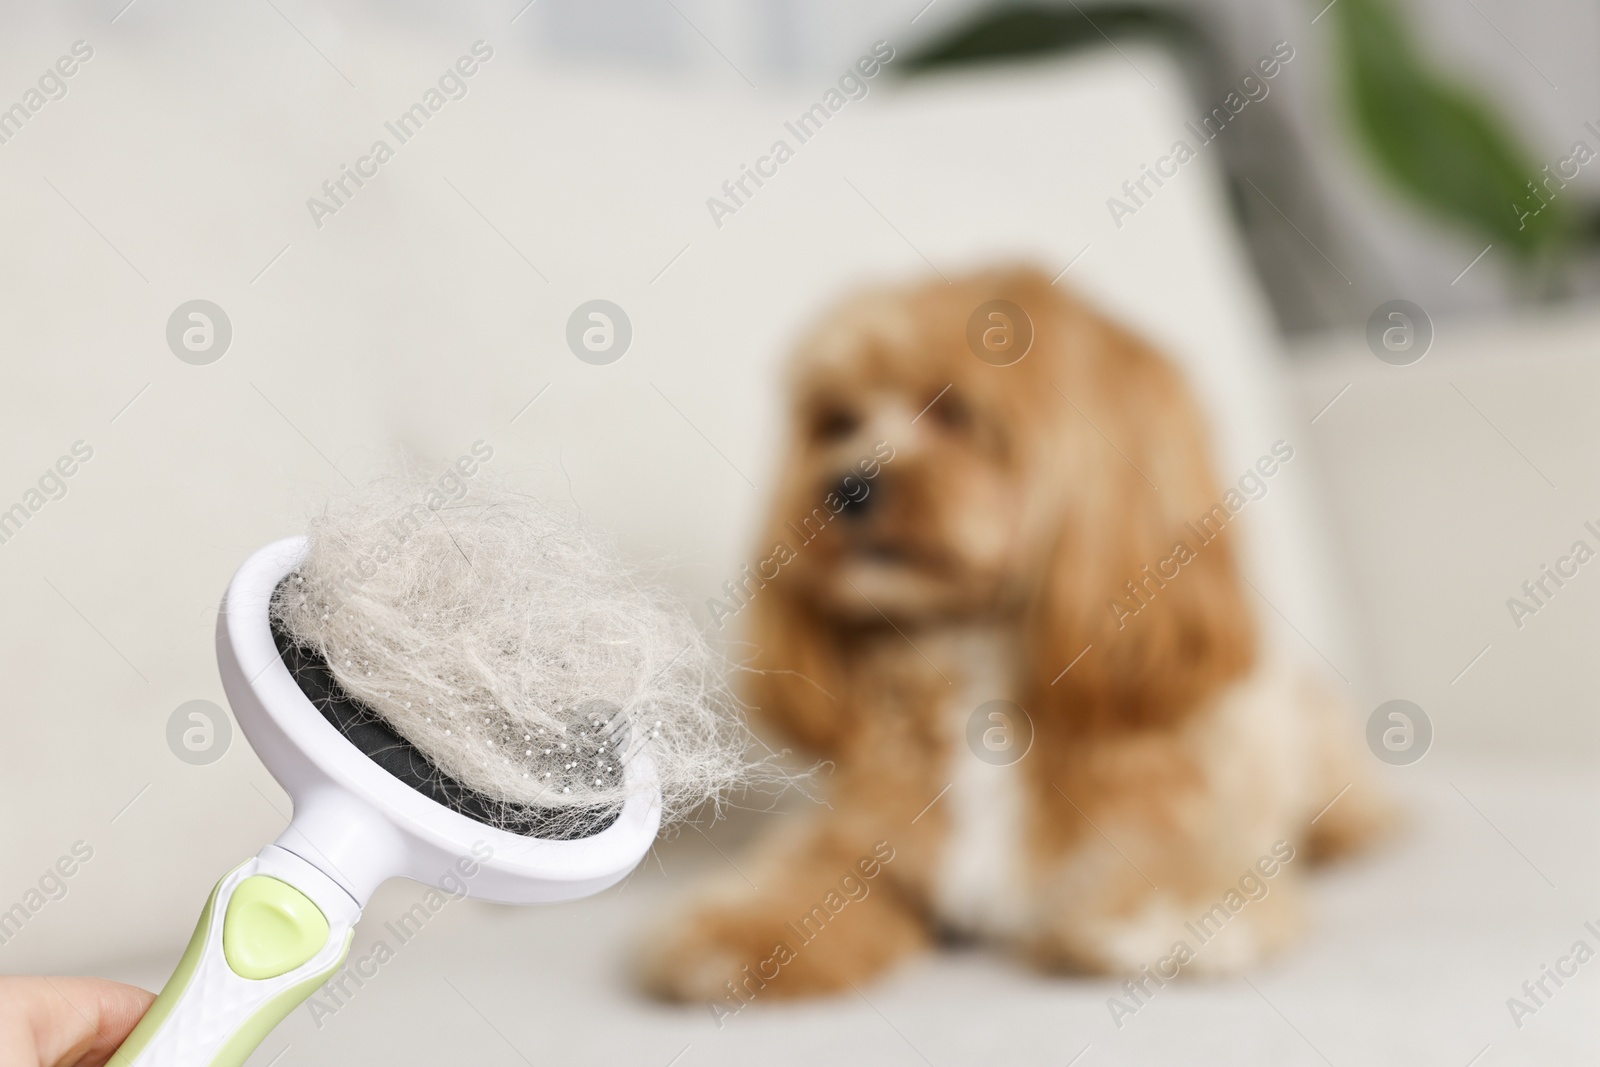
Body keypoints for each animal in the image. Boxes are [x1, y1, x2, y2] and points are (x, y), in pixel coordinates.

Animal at [640, 262, 1388, 1004]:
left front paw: (1159, 908)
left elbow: (1180, 862)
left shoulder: (1178, 809)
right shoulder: (860, 833)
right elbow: (807, 873)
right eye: (837, 423)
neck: (974, 657)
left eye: (955, 410)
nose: (846, 486)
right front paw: (740, 928)